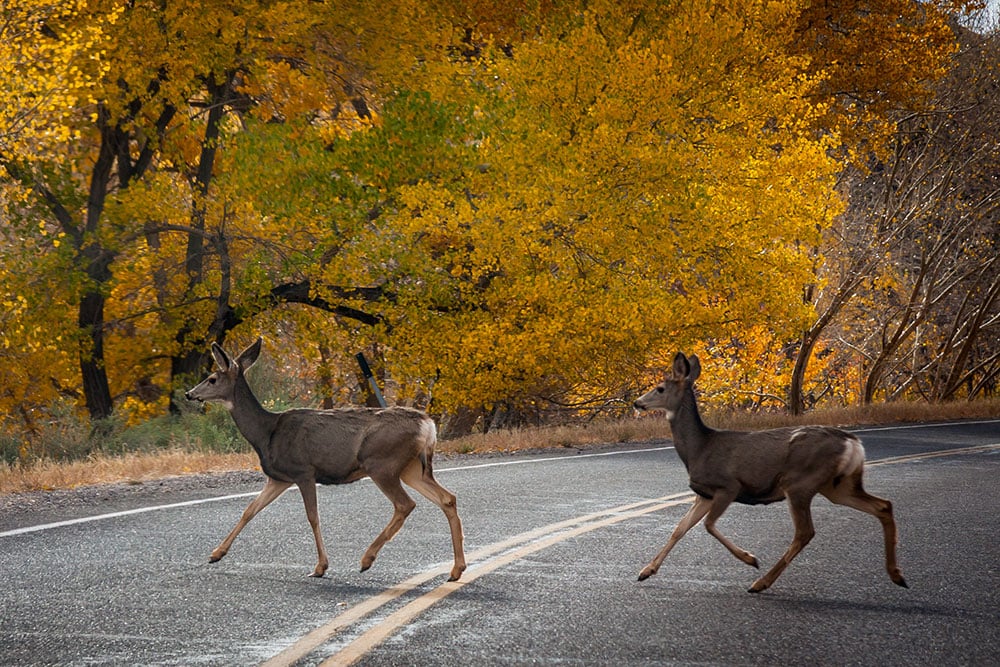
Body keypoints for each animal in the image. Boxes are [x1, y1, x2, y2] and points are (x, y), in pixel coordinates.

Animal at [186, 336, 466, 580]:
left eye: (212, 379)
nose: (189, 393)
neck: (266, 434)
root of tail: (428, 424)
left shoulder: (303, 471)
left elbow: (312, 517)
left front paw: (321, 566)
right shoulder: (279, 478)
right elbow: (250, 510)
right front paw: (216, 554)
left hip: (381, 464)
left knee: (405, 504)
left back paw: (366, 559)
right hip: (412, 468)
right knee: (447, 498)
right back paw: (456, 569)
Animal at [632, 352, 908, 592]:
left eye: (660, 388)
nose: (637, 402)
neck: (699, 448)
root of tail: (853, 443)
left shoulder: (728, 486)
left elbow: (708, 525)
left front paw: (750, 558)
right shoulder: (704, 494)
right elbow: (680, 528)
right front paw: (646, 571)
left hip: (799, 482)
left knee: (805, 532)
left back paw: (761, 582)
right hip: (838, 486)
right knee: (883, 505)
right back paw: (896, 575)